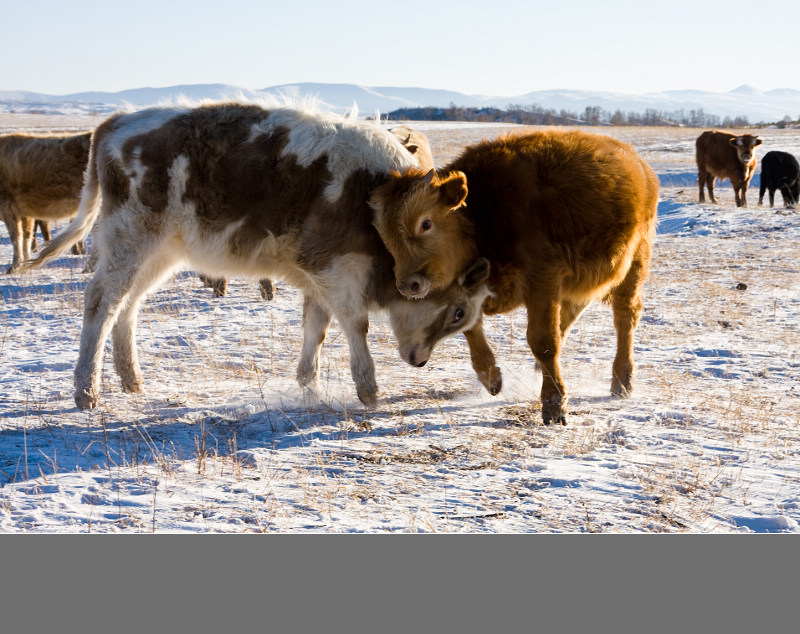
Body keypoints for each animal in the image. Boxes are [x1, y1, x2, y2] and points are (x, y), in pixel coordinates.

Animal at [0, 131, 91, 272]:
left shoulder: (8, 206)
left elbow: (16, 237)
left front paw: (14, 267)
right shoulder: (25, 212)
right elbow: (27, 236)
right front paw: (25, 263)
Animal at [18, 100, 490, 410]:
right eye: (457, 311)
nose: (420, 361)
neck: (381, 198)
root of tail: (118, 121)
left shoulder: (318, 276)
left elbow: (316, 328)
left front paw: (308, 384)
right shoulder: (336, 269)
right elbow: (355, 324)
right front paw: (368, 389)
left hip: (157, 254)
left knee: (127, 305)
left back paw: (132, 380)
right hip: (128, 242)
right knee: (101, 302)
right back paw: (87, 392)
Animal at [368, 128, 656, 422]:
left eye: (426, 223)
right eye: (383, 233)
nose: (408, 285)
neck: (481, 217)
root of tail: (638, 164)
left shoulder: (543, 280)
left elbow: (542, 340)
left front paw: (554, 405)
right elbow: (472, 328)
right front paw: (491, 379)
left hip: (635, 262)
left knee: (625, 317)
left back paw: (622, 381)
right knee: (572, 312)